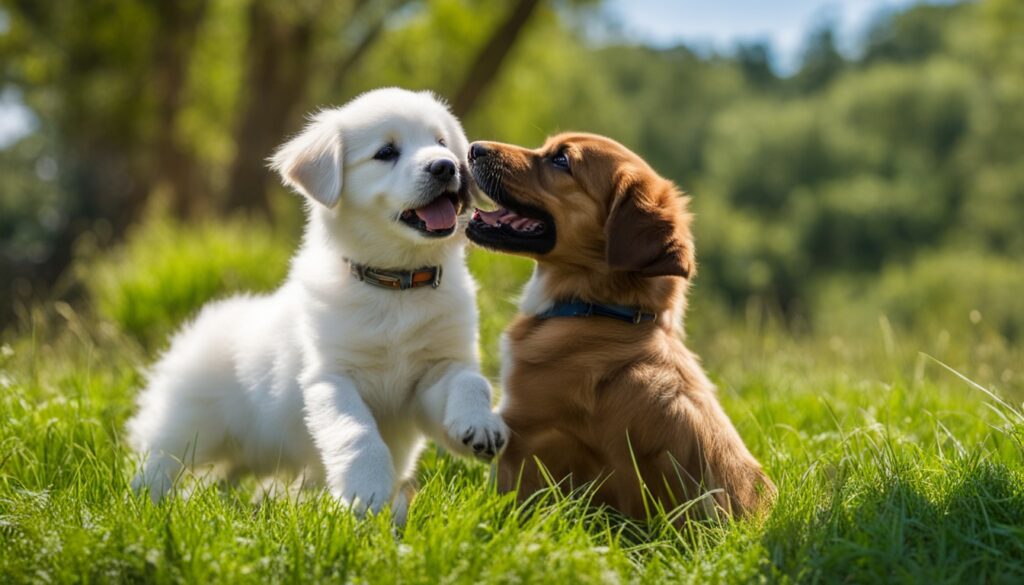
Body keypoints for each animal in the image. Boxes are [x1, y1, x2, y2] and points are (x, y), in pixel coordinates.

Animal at [130, 88, 505, 522]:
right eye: (386, 152)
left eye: (442, 143)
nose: (445, 166)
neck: (396, 285)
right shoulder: (331, 378)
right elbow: (359, 433)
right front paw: (366, 493)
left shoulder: (435, 372)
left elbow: (470, 381)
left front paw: (479, 425)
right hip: (186, 422)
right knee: (158, 463)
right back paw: (143, 505)